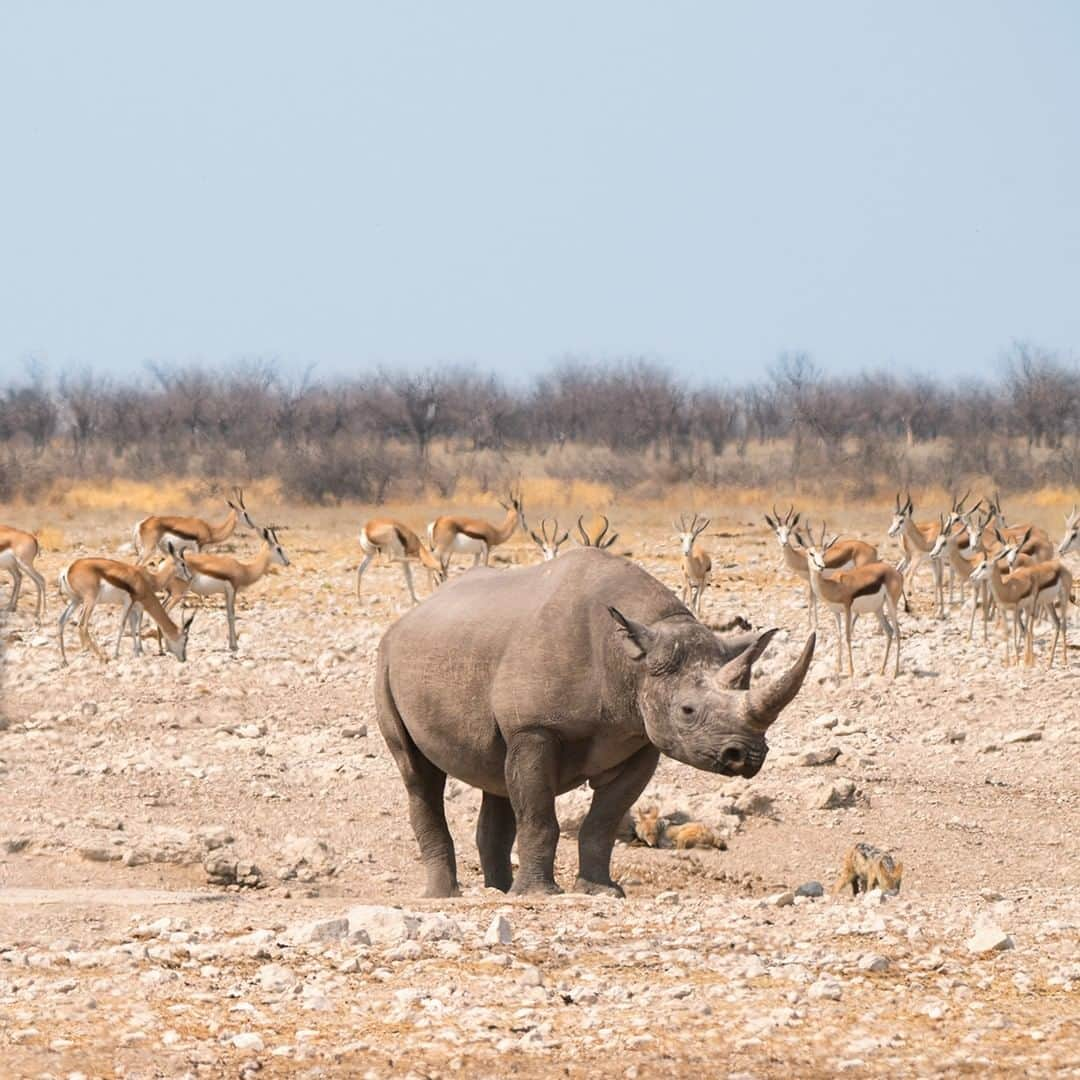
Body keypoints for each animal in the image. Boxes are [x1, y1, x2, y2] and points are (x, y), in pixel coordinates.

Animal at [58, 557, 196, 665]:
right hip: (90, 601)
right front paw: (117, 654)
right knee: (82, 625)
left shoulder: (134, 606)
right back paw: (103, 658)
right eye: (185, 640)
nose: (184, 658)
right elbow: (124, 625)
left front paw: (136, 652)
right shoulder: (131, 603)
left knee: (62, 621)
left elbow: (133, 626)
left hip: (76, 601)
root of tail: (68, 569)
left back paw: (65, 660)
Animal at [159, 522, 287, 648]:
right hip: (177, 595)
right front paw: (234, 646)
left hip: (169, 594)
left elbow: (228, 614)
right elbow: (231, 615)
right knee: (165, 611)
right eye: (279, 549)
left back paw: (162, 648)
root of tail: (163, 565)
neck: (244, 569)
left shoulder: (225, 593)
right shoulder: (232, 590)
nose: (288, 562)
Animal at [794, 520, 902, 673]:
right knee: (889, 631)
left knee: (897, 631)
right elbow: (839, 635)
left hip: (891, 605)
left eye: (824, 553)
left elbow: (847, 636)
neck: (833, 586)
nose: (821, 566)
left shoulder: (847, 608)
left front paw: (851, 670)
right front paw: (839, 667)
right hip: (878, 609)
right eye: (811, 553)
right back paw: (881, 670)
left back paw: (895, 672)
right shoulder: (835, 612)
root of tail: (895, 572)